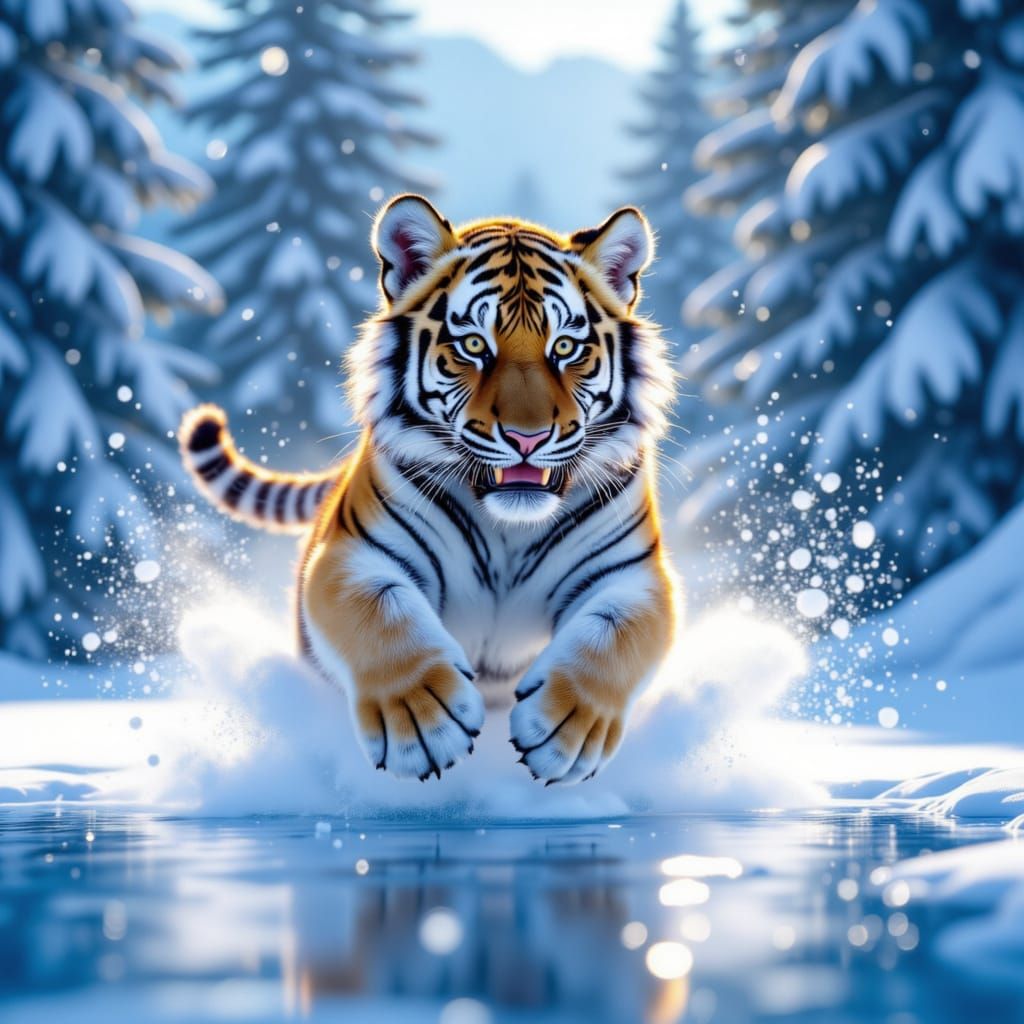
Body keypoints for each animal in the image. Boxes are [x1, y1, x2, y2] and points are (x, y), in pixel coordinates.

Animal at [179, 194, 680, 785]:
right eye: (473, 345)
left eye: (564, 347)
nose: (528, 438)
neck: (508, 525)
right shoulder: (354, 555)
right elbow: (382, 614)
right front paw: (420, 722)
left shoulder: (636, 578)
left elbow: (612, 638)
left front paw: (566, 732)